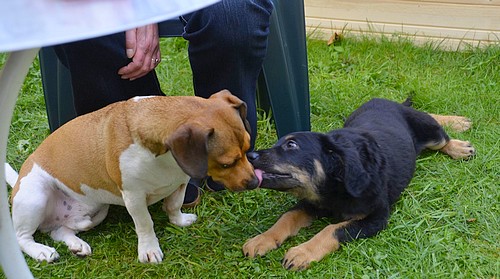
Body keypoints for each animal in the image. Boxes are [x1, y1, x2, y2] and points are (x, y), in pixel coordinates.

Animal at [4, 90, 258, 264]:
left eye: (248, 148)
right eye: (226, 163)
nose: (255, 182)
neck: (163, 157)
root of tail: (18, 182)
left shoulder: (181, 182)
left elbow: (174, 205)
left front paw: (179, 221)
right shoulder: (134, 197)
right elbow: (145, 223)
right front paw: (149, 250)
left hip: (97, 211)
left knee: (59, 230)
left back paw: (77, 245)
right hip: (36, 197)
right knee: (21, 237)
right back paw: (41, 251)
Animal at [244, 98, 474, 272]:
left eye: (291, 145)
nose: (249, 156)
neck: (335, 186)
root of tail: (388, 101)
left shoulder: (376, 217)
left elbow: (332, 229)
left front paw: (302, 252)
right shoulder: (311, 201)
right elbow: (287, 218)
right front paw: (261, 239)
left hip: (430, 131)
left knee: (439, 133)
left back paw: (459, 136)